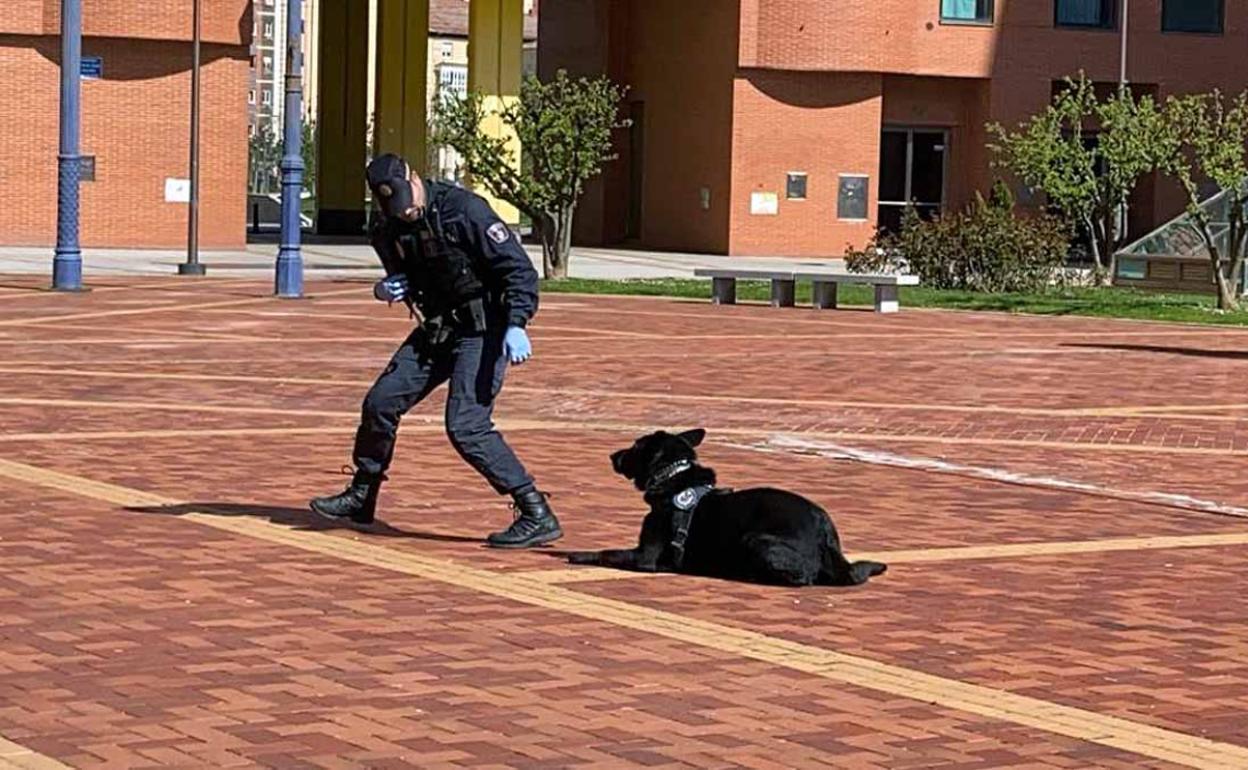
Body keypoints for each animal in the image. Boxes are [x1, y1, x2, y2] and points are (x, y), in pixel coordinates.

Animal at [566, 429, 888, 586]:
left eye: (635, 447)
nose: (612, 455)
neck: (675, 479)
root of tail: (824, 529)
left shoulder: (645, 556)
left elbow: (608, 552)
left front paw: (580, 555)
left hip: (756, 540)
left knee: (803, 579)